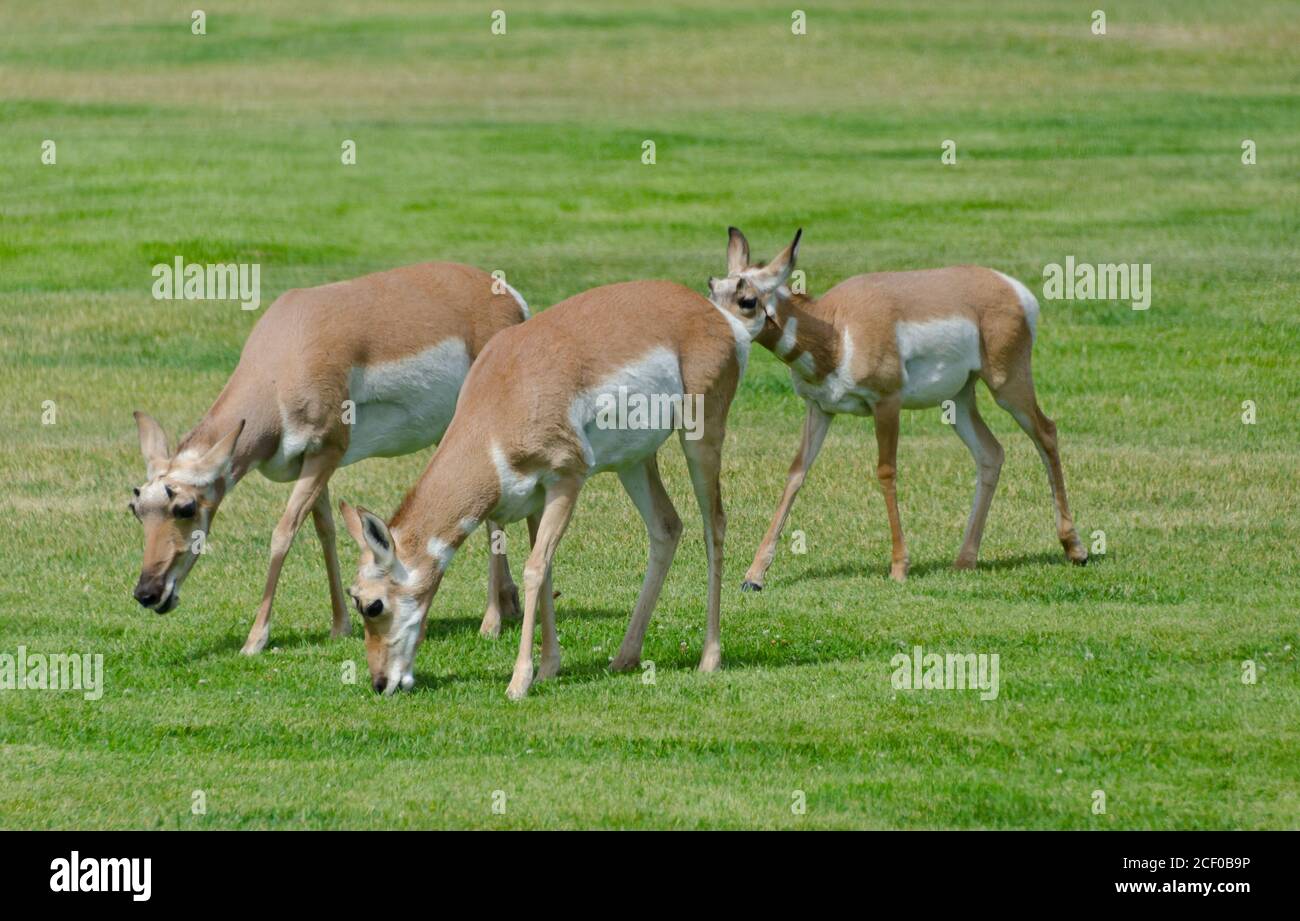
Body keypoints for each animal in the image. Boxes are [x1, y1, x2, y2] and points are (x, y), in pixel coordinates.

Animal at [122, 261, 527, 655]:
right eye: (137, 509)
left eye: (185, 507)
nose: (146, 593)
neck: (283, 360)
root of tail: (506, 294)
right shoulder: (313, 461)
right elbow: (325, 531)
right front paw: (339, 625)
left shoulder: (326, 451)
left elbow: (283, 533)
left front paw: (255, 640)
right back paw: (509, 604)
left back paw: (491, 623)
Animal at [340, 280, 759, 697]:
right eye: (354, 598)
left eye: (373, 605)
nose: (380, 683)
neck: (501, 400)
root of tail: (713, 313)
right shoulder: (536, 499)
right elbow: (547, 570)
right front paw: (547, 669)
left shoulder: (566, 480)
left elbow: (534, 568)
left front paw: (519, 681)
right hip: (634, 462)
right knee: (667, 527)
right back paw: (624, 657)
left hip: (701, 437)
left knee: (714, 524)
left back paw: (709, 658)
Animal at [712, 228, 1086, 590]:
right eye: (712, 288)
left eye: (747, 300)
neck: (836, 331)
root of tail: (1011, 287)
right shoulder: (819, 408)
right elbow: (796, 474)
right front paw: (754, 576)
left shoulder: (887, 403)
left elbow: (886, 471)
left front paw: (899, 567)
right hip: (959, 399)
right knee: (990, 452)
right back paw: (965, 560)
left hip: (1007, 384)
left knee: (1046, 432)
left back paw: (1075, 549)